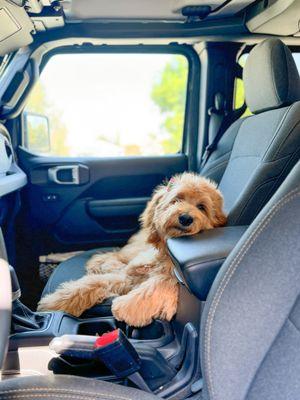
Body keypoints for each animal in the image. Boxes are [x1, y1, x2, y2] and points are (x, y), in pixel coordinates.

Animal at [38, 173, 225, 326]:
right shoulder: (128, 277)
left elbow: (157, 284)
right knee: (118, 257)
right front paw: (55, 302)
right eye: (177, 199)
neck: (166, 255)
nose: (185, 218)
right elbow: (91, 283)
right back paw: (100, 262)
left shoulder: (169, 279)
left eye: (202, 207)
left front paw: (126, 306)